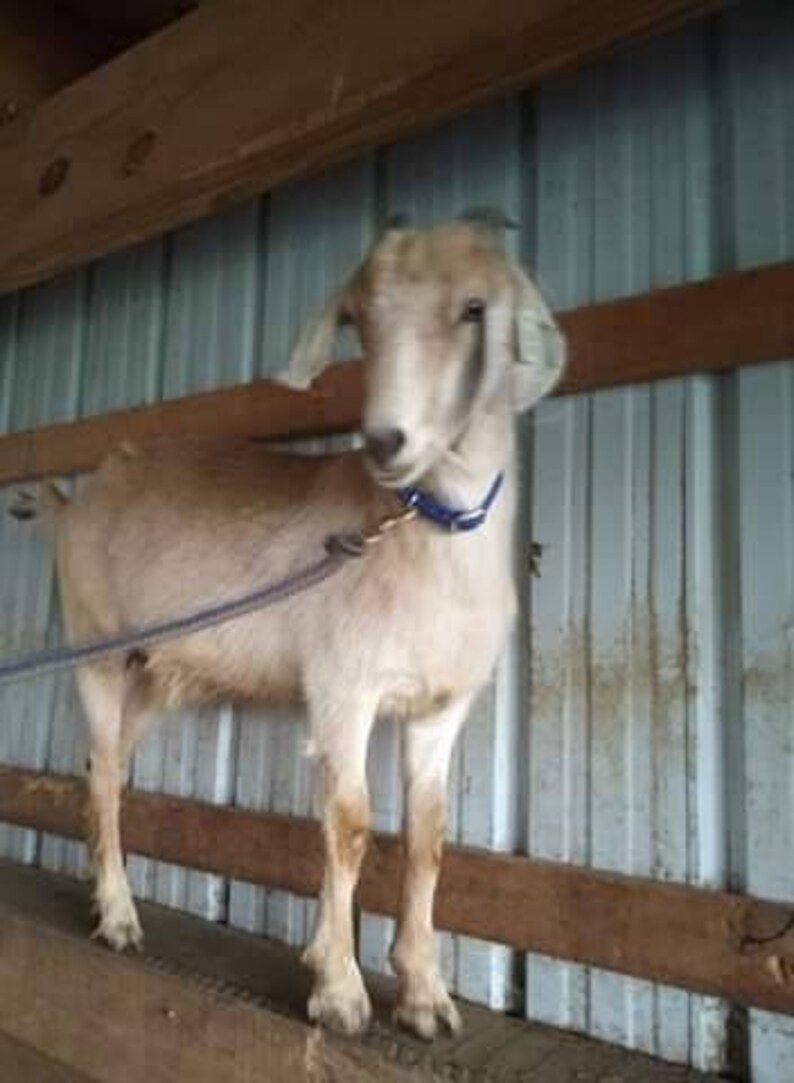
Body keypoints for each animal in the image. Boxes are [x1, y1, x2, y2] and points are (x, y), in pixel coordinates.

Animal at [47, 213, 565, 1040]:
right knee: (100, 774)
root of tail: (76, 499)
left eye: (475, 308)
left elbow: (429, 836)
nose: (385, 439)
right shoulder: (341, 686)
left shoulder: (441, 706)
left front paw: (426, 995)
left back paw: (106, 896)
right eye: (359, 320)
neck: (422, 531)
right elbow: (349, 822)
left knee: (108, 767)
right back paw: (122, 917)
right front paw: (340, 988)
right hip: (93, 643)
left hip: (154, 671)